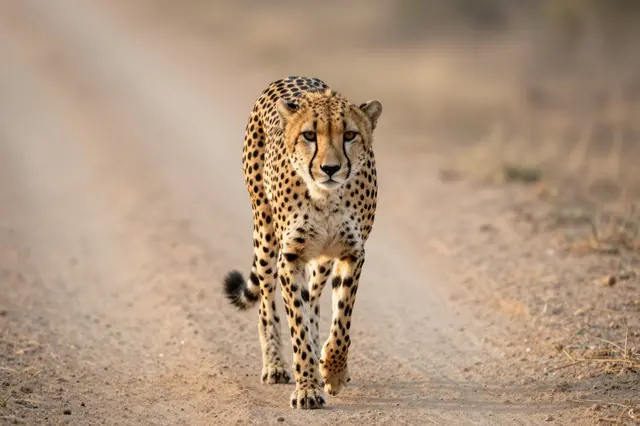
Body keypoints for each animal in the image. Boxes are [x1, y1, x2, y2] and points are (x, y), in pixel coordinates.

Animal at [223, 76, 382, 410]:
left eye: (350, 135)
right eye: (309, 135)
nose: (330, 169)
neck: (326, 197)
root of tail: (287, 78)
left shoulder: (351, 253)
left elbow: (341, 321)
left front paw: (332, 371)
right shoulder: (291, 257)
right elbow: (296, 323)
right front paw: (307, 387)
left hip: (320, 261)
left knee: (313, 302)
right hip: (266, 234)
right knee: (267, 305)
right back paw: (275, 365)